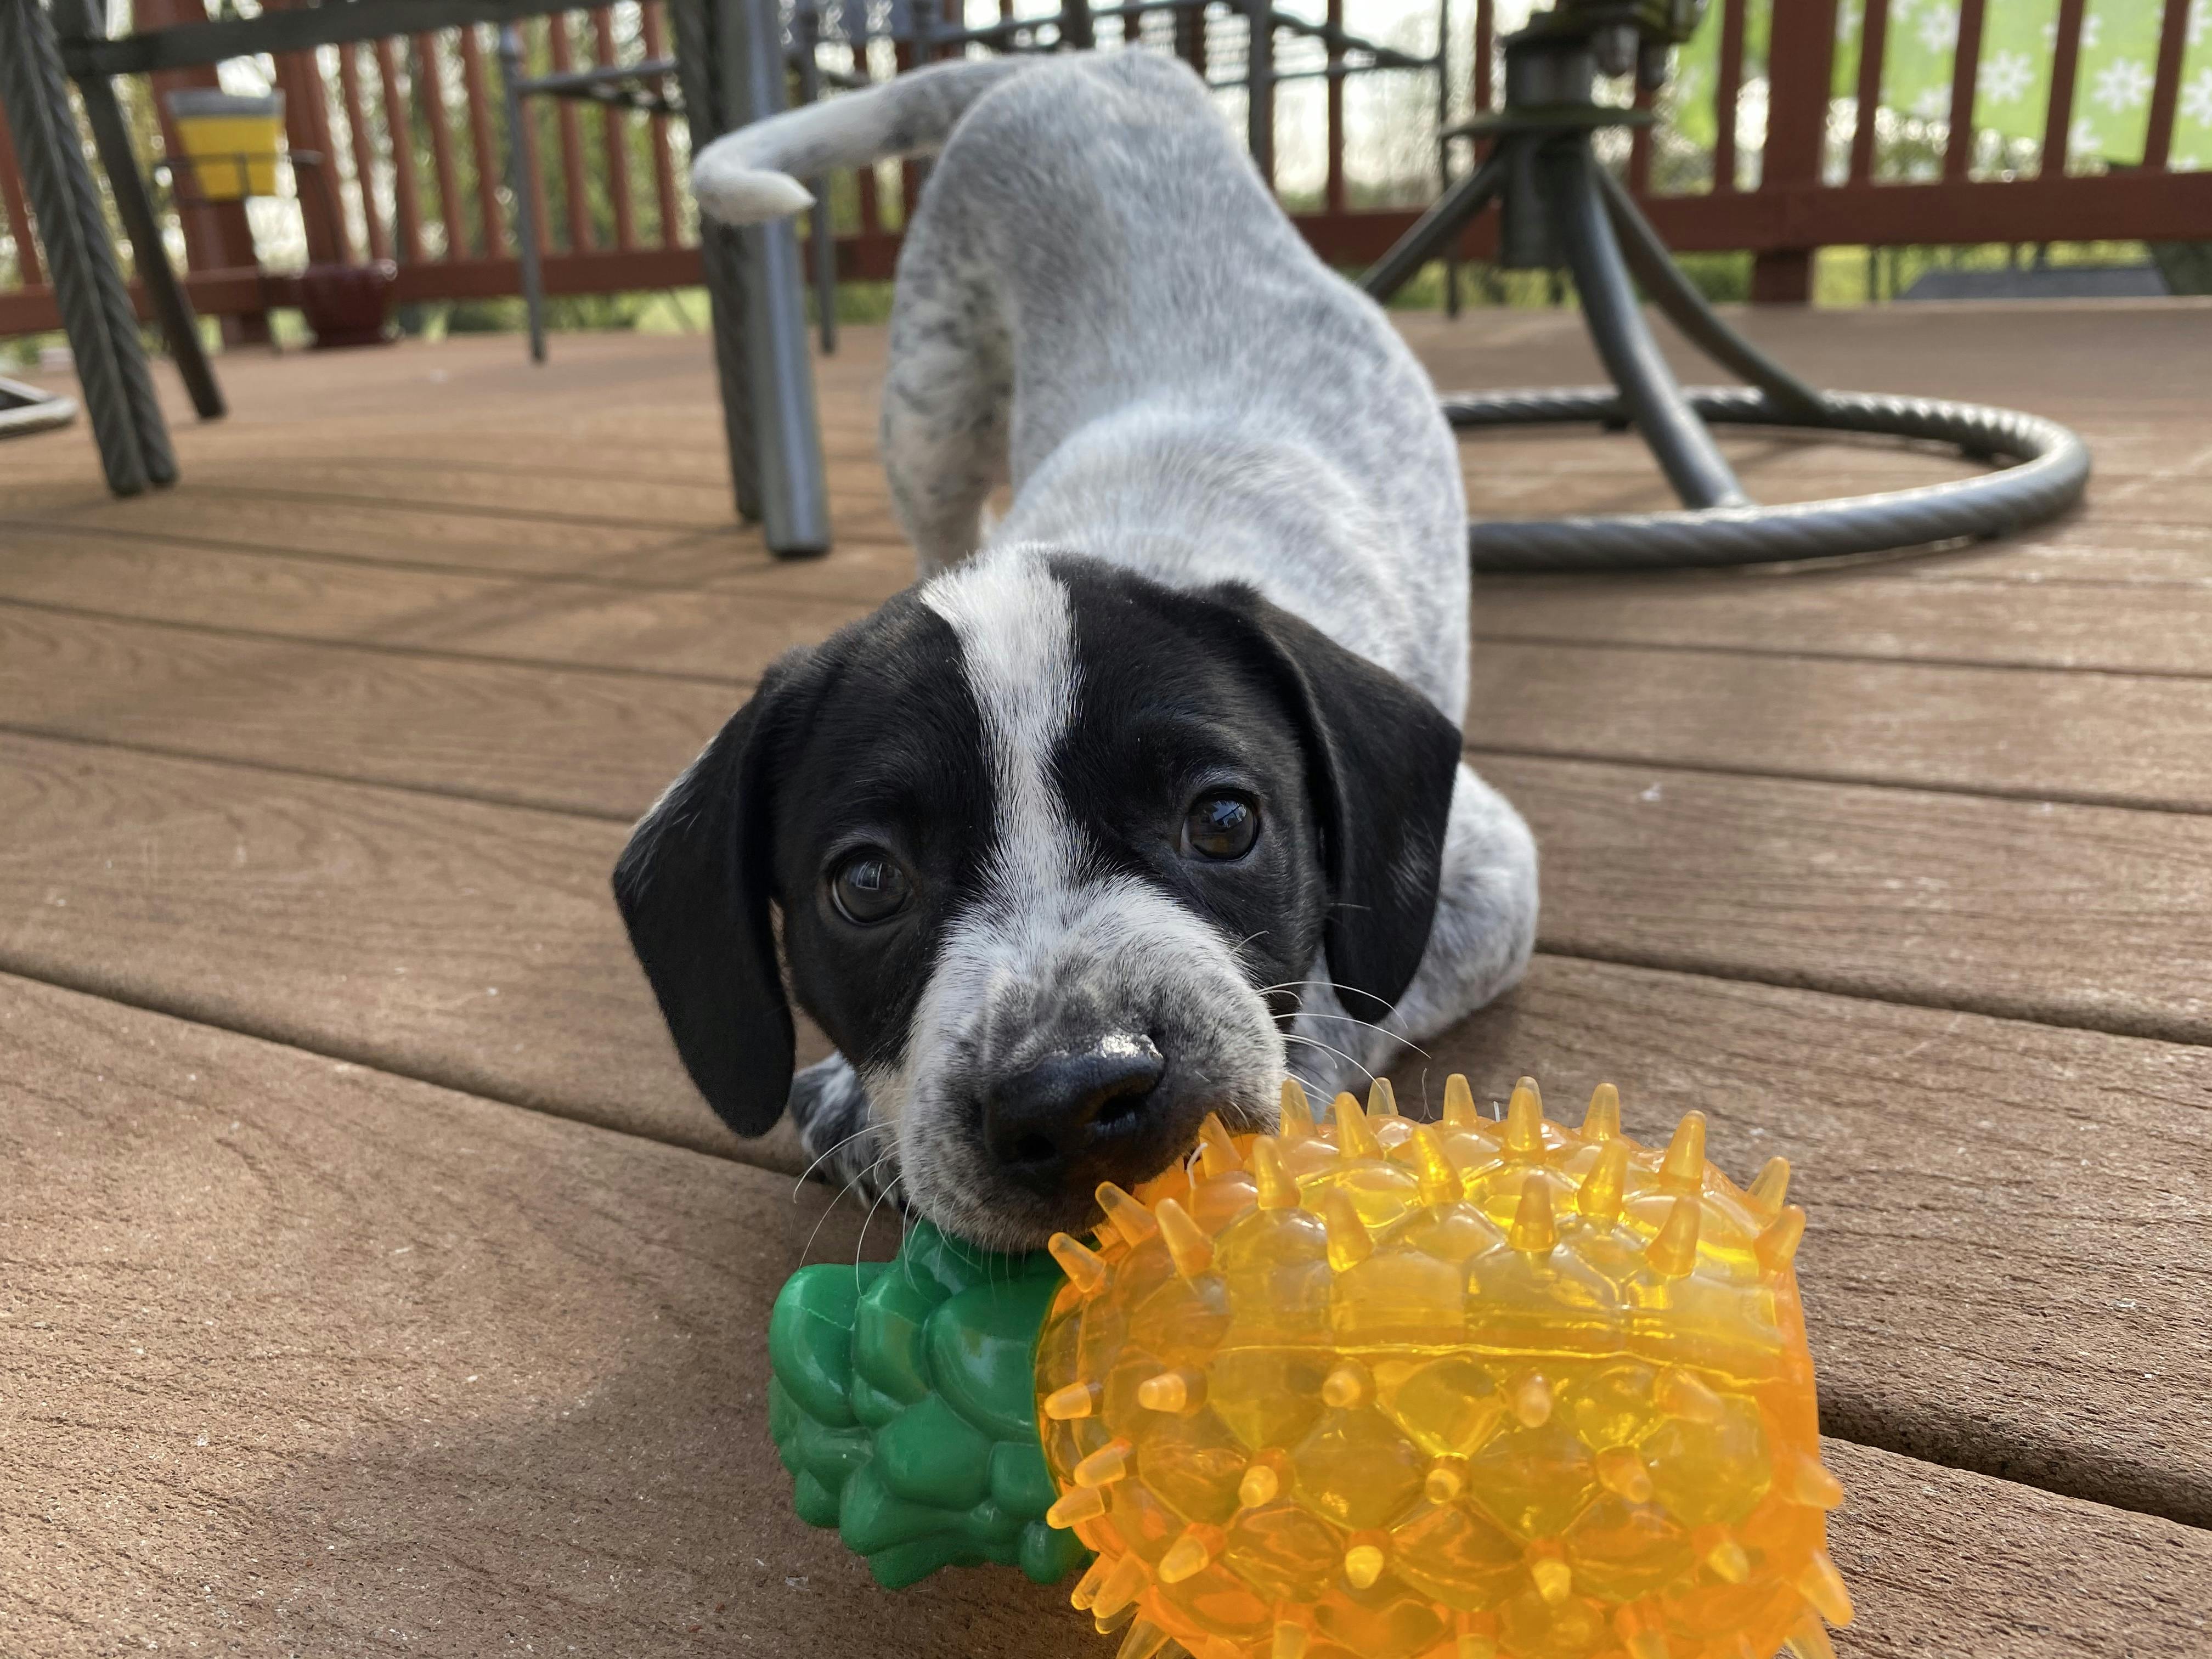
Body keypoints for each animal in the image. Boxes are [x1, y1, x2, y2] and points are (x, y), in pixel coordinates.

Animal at [614, 48, 1531, 1248]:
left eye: (1225, 821)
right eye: (866, 883)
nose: (1078, 1093)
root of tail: (1088, 59)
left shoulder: (1488, 876)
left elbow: (1341, 994)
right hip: (930, 417)